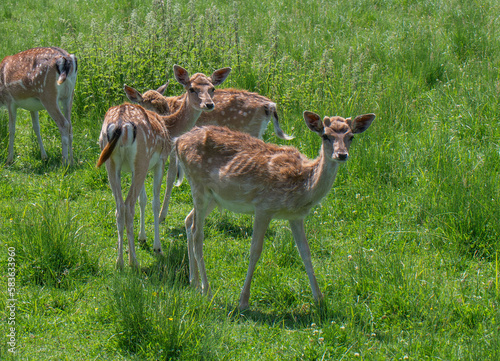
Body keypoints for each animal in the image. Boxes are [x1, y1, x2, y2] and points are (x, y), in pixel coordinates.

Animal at [96, 64, 231, 268]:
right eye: (192, 89)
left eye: (212, 88)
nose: (209, 104)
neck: (169, 127)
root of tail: (120, 125)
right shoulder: (159, 161)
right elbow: (154, 201)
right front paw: (157, 246)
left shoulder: (140, 167)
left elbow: (143, 199)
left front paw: (142, 237)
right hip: (141, 156)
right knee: (127, 206)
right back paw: (133, 261)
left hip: (112, 163)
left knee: (119, 207)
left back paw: (119, 262)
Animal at [123, 82, 292, 222]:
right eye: (152, 107)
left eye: (164, 108)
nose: (164, 126)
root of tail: (270, 105)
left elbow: (170, 177)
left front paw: (161, 216)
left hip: (250, 132)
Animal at [176, 111, 376, 308]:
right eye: (325, 135)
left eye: (351, 136)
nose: (341, 154)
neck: (304, 187)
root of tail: (178, 141)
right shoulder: (264, 206)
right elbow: (255, 251)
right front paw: (243, 301)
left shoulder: (296, 216)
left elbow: (305, 252)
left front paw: (319, 298)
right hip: (198, 184)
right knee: (197, 234)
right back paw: (207, 290)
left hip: (214, 197)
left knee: (188, 220)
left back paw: (194, 282)